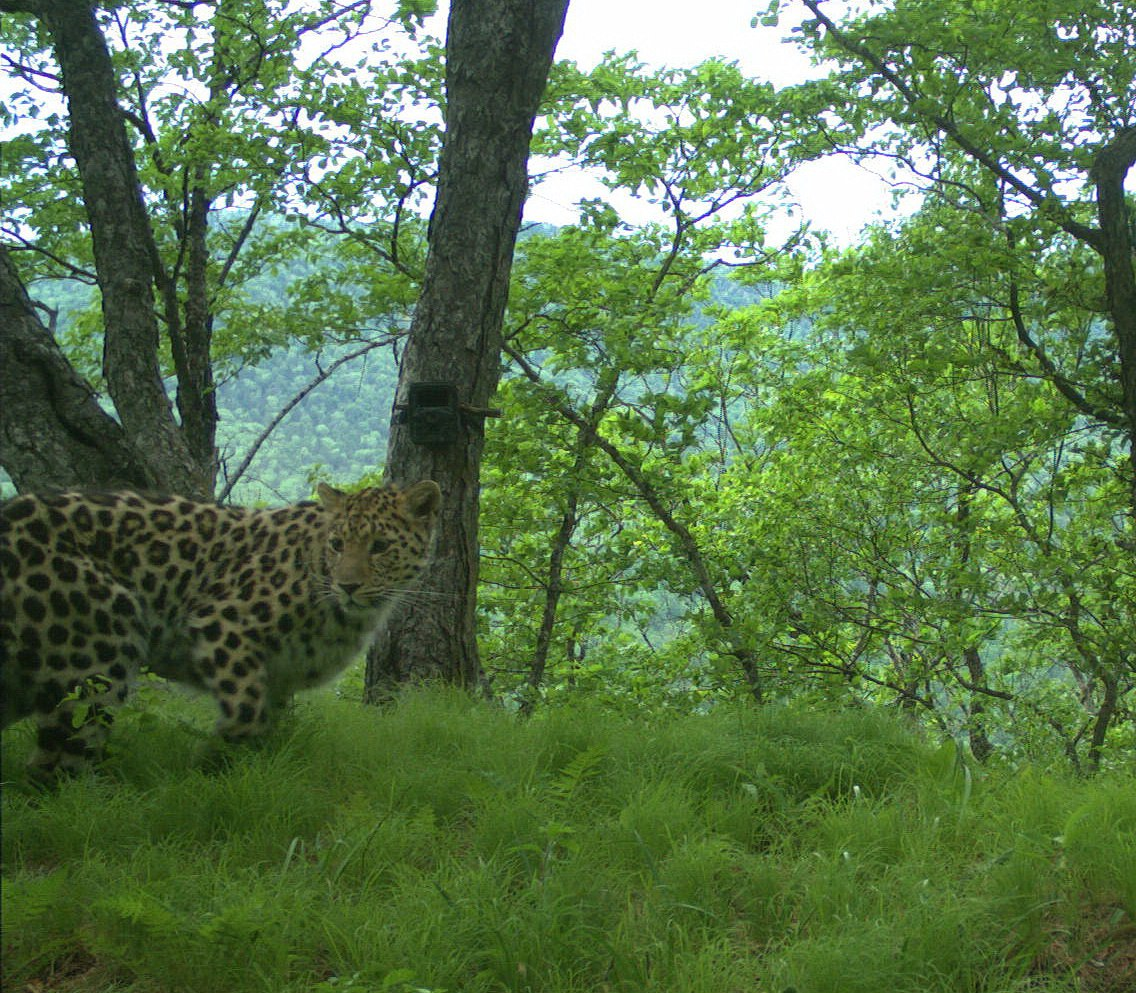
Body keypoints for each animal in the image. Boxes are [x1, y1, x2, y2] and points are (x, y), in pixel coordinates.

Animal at [0, 477, 438, 772]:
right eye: (337, 545)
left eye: (380, 546)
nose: (347, 586)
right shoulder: (224, 623)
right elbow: (246, 710)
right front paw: (209, 759)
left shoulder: (280, 678)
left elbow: (266, 725)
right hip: (100, 653)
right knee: (60, 759)